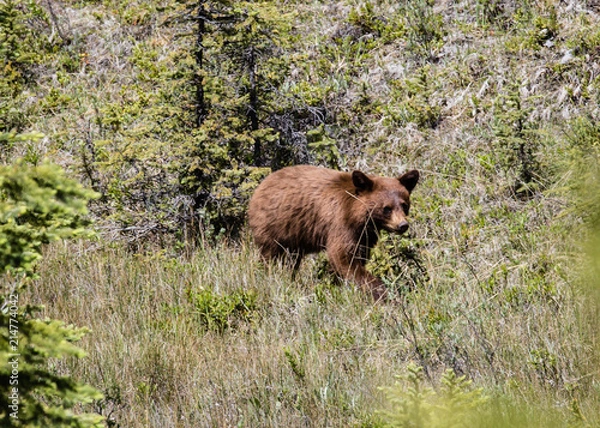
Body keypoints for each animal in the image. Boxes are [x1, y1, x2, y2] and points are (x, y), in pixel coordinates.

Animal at [246, 164, 420, 300]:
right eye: (387, 208)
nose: (403, 225)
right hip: (274, 226)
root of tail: (262, 185)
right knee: (270, 257)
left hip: (293, 237)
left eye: (404, 205)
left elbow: (357, 255)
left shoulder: (364, 235)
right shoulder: (341, 223)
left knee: (290, 261)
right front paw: (381, 293)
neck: (359, 216)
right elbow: (343, 256)